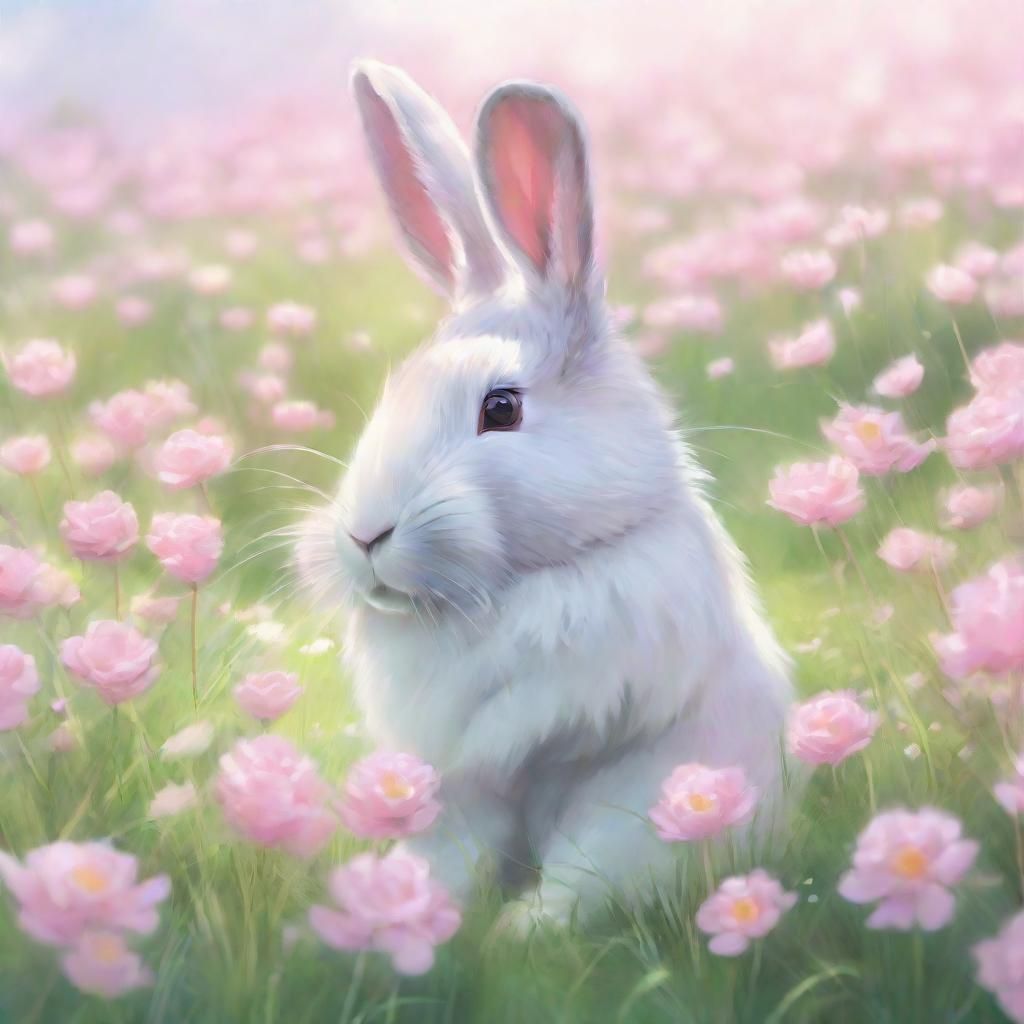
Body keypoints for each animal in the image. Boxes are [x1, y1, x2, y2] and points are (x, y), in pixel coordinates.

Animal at [298, 59, 794, 928]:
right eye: (391, 394)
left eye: (501, 408)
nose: (365, 536)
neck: (509, 592)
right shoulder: (458, 790)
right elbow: (450, 859)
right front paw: (397, 911)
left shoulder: (635, 765)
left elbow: (584, 861)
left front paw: (519, 934)